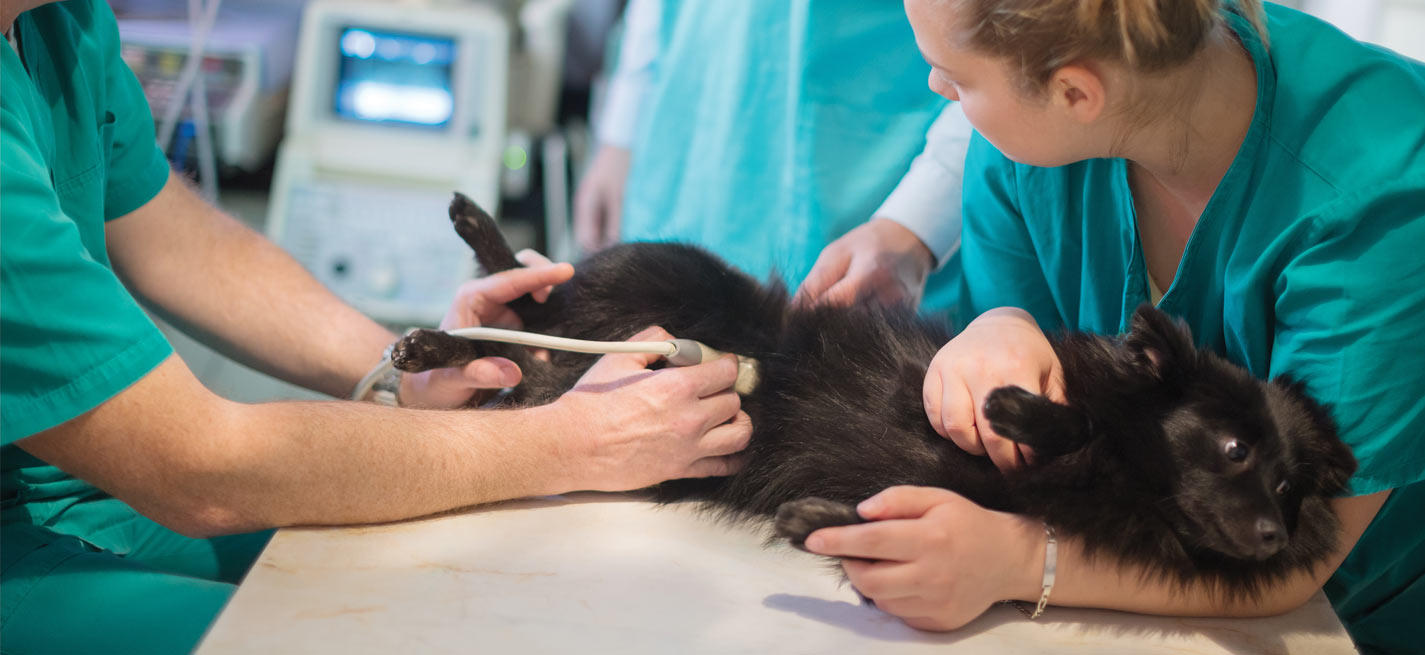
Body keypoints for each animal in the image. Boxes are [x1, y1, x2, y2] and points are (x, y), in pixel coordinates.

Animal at [396, 193, 1350, 598]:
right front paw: (1018, 408)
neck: (1117, 483)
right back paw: (460, 268)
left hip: (561, 385)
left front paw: (811, 521)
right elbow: (1069, 413)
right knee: (530, 301)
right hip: (648, 273)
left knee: (519, 360)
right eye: (1232, 449)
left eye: (1287, 489)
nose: (1273, 537)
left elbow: (868, 514)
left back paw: (438, 348)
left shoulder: (966, 495)